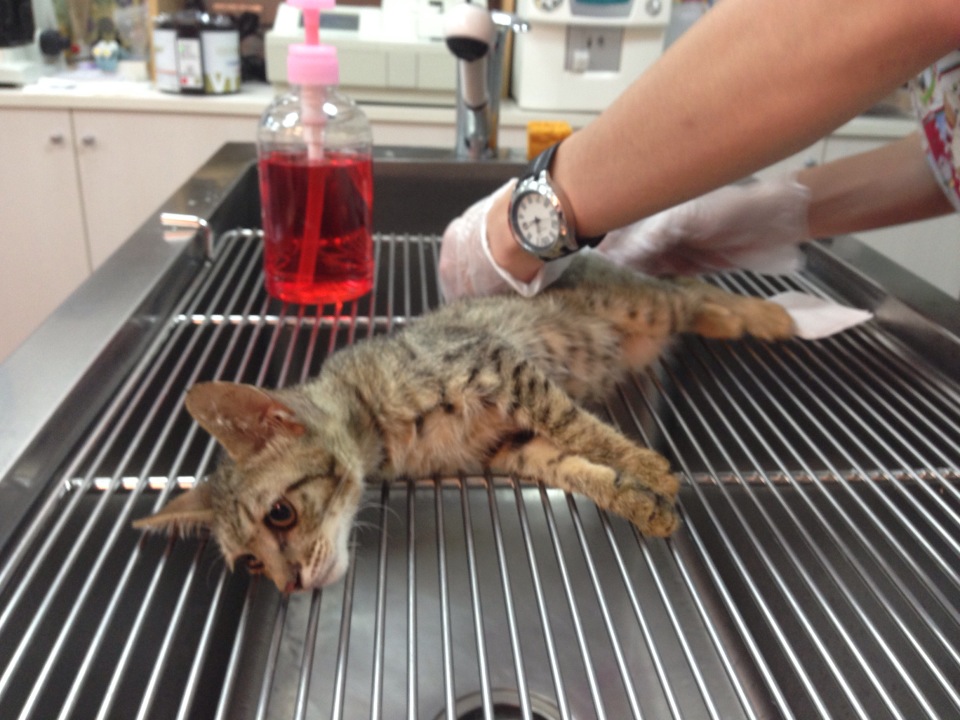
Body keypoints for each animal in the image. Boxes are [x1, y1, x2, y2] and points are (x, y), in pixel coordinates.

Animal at [133, 253, 794, 594]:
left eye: (280, 514)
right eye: (248, 564)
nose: (289, 585)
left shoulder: (498, 365)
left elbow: (579, 426)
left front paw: (641, 465)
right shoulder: (510, 448)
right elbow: (574, 466)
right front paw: (636, 498)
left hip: (641, 305)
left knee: (691, 287)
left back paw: (764, 315)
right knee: (693, 298)